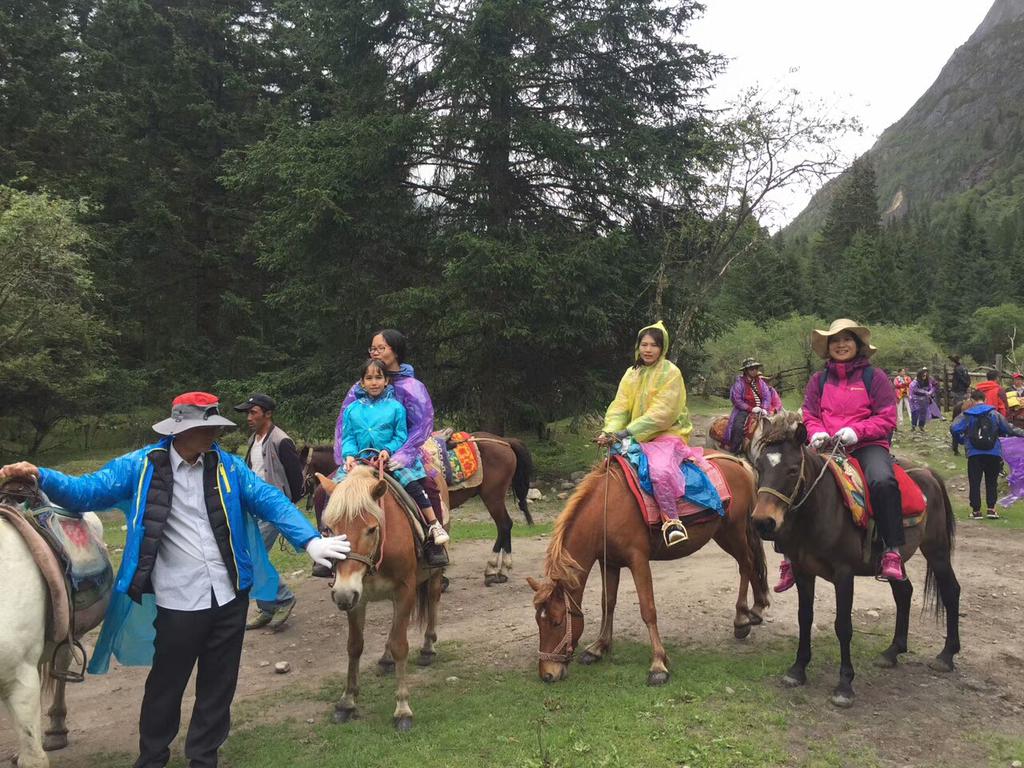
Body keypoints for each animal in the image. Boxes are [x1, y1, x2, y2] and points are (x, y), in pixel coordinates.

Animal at [315, 468, 444, 733]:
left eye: (371, 529)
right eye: (329, 529)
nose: (342, 594)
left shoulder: (404, 590)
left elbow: (400, 645)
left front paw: (403, 708)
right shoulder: (356, 596)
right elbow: (354, 646)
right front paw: (347, 701)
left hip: (434, 575)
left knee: (433, 600)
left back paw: (428, 647)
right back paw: (386, 659)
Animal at [528, 450, 770, 684]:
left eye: (557, 622)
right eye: (538, 621)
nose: (547, 674)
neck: (606, 511)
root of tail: (739, 464)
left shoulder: (638, 561)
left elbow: (648, 609)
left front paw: (658, 665)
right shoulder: (609, 562)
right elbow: (608, 603)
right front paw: (598, 647)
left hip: (733, 532)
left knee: (746, 565)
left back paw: (741, 620)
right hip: (724, 534)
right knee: (751, 563)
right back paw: (755, 610)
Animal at [753, 415, 958, 708]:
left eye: (792, 470)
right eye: (758, 466)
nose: (763, 522)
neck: (821, 509)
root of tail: (929, 474)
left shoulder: (843, 574)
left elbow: (843, 626)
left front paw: (844, 685)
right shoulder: (804, 572)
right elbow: (804, 617)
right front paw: (798, 670)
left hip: (937, 551)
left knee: (951, 591)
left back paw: (946, 655)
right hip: (895, 562)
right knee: (904, 592)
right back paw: (892, 651)